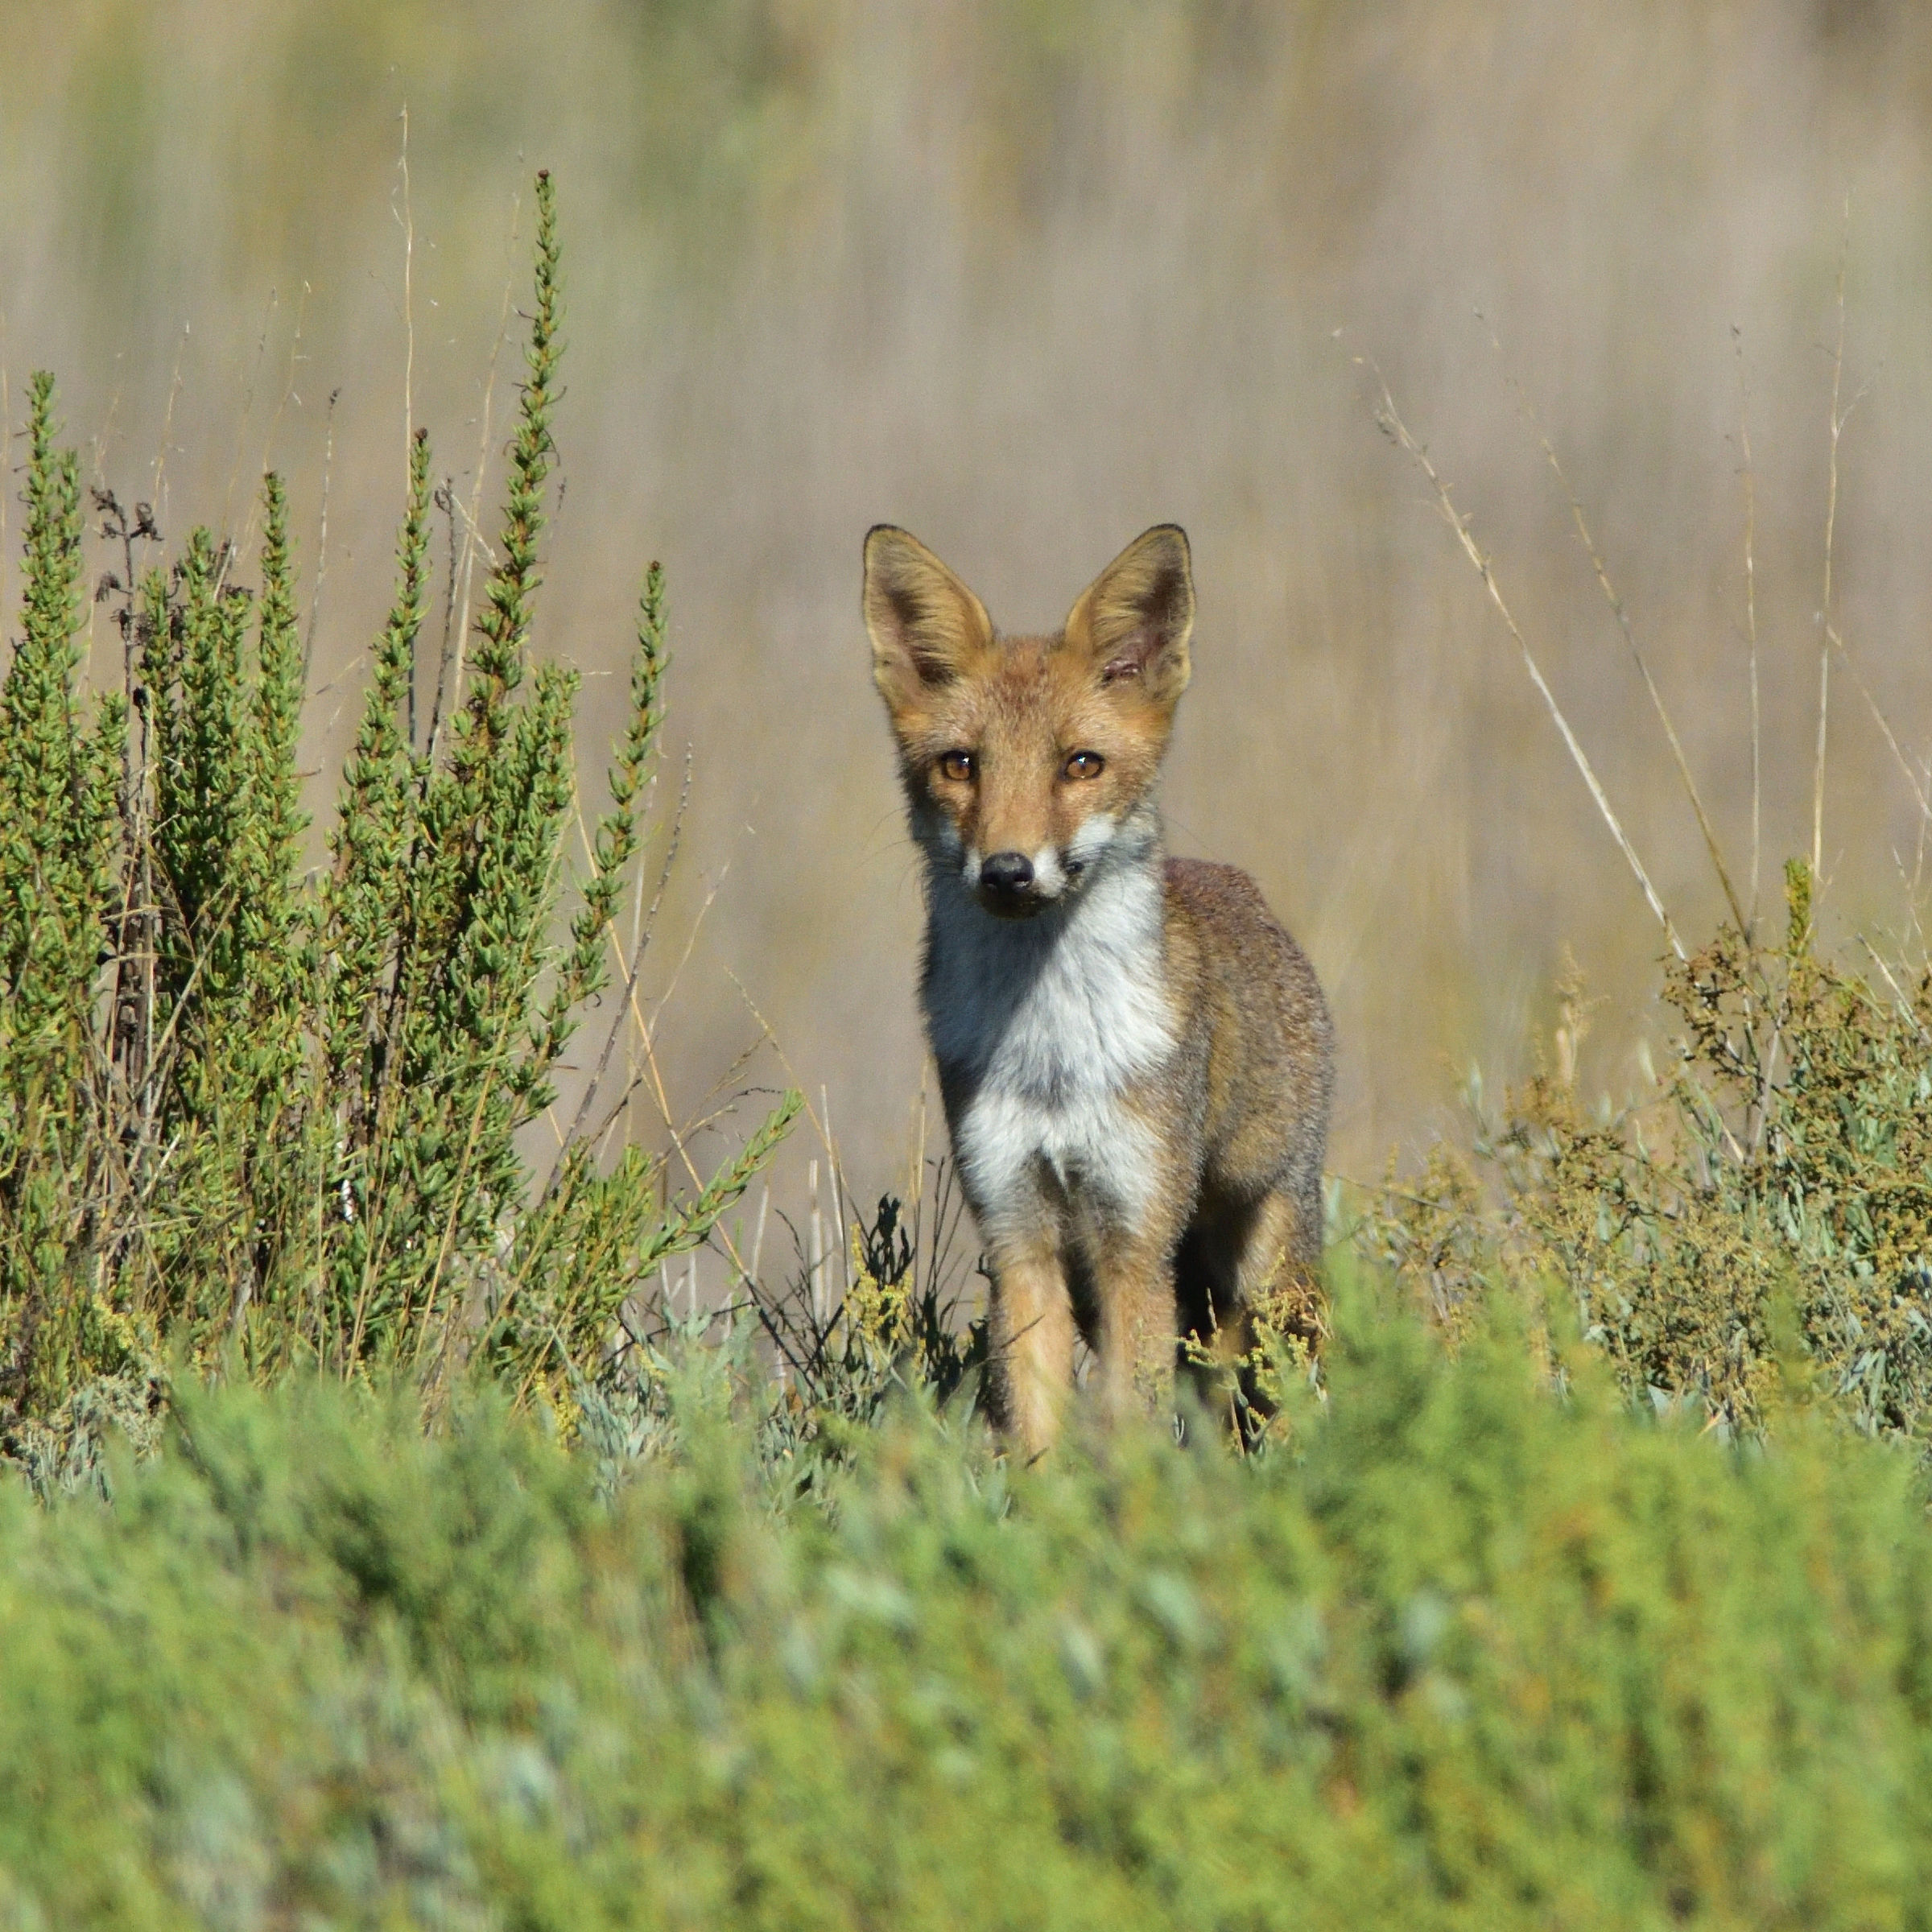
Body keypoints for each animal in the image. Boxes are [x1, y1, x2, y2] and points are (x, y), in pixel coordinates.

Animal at [863, 521, 1334, 1456]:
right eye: (960, 766)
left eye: (1081, 765)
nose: (1008, 871)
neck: (1054, 1051)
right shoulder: (1020, 1233)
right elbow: (1037, 1432)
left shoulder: (1135, 1238)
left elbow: (1130, 1429)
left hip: (1263, 1272)